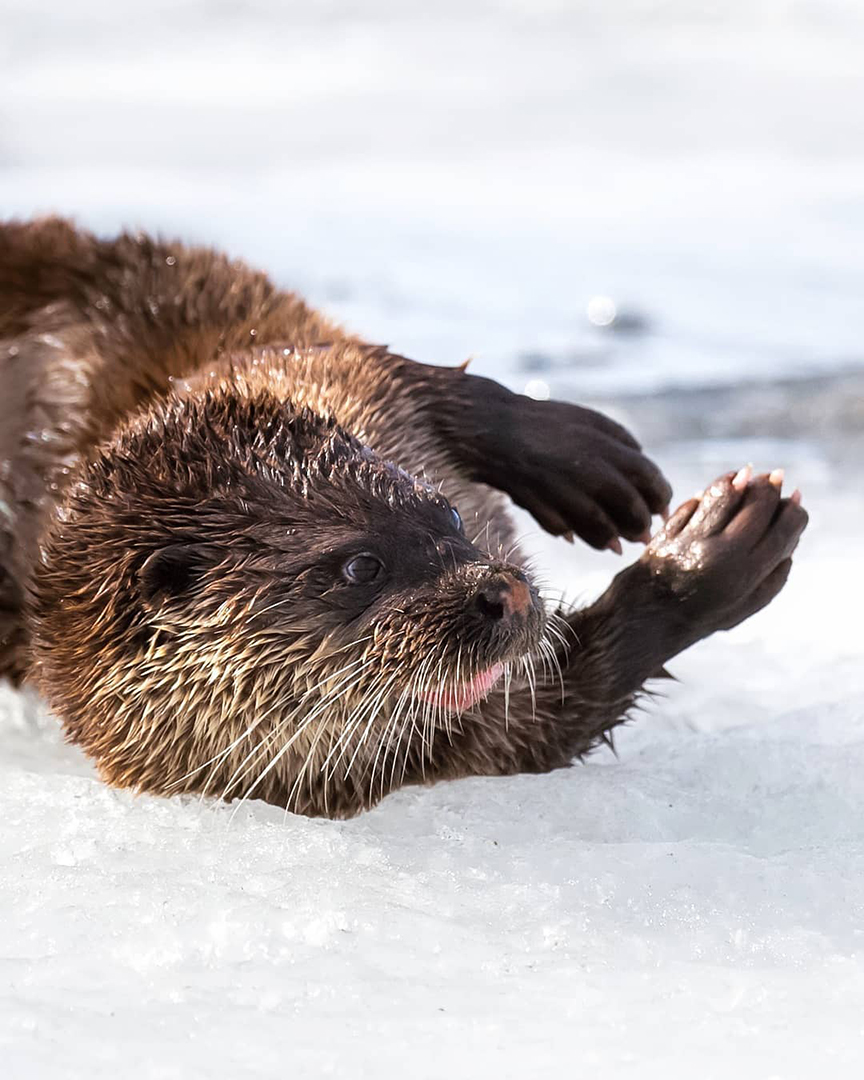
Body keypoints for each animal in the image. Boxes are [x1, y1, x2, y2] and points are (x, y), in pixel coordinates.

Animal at [1, 214, 812, 812]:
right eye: (360, 566)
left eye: (446, 514)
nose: (504, 590)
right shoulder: (455, 752)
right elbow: (581, 696)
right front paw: (721, 548)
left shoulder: (297, 372)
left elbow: (417, 377)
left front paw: (591, 467)